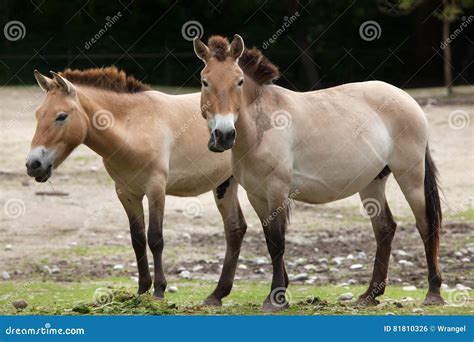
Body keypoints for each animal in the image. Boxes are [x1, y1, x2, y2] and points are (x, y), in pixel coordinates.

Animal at [25, 67, 248, 304]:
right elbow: (138, 239)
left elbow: (155, 238)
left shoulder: (156, 189)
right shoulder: (127, 193)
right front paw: (141, 290)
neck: (134, 126)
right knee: (235, 229)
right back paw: (217, 294)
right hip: (225, 184)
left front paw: (159, 290)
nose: (33, 164)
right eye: (38, 114)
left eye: (61, 116)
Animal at [193, 36, 444, 312]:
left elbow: (278, 242)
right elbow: (270, 241)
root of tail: (406, 98)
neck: (262, 126)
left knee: (426, 224)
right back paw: (370, 295)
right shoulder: (256, 195)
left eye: (239, 81)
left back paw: (433, 293)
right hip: (372, 182)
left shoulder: (277, 191)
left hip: (410, 175)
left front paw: (275, 298)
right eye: (205, 81)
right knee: (385, 228)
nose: (224, 135)